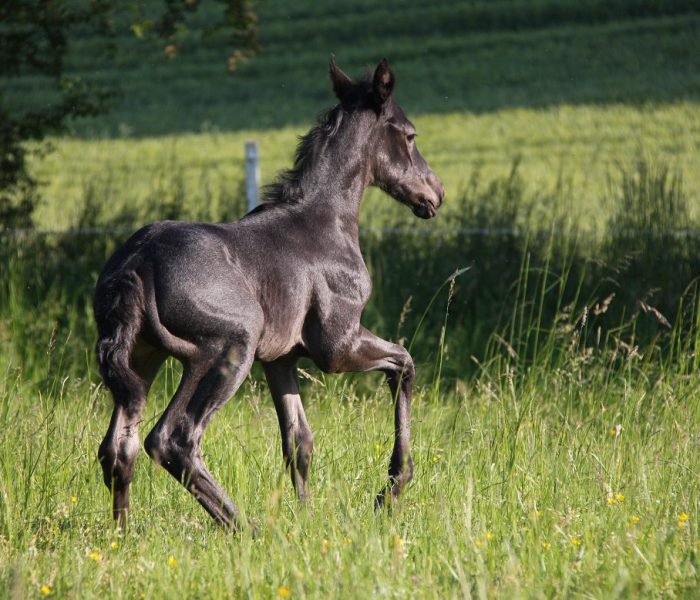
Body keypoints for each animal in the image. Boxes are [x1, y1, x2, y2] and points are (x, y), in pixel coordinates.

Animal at [94, 57, 444, 528]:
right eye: (409, 135)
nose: (435, 193)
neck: (326, 222)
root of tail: (138, 263)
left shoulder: (281, 359)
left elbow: (299, 441)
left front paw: (308, 518)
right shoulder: (339, 346)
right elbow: (404, 362)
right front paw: (391, 490)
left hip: (142, 356)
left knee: (119, 446)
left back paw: (123, 534)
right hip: (226, 350)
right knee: (173, 440)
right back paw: (244, 528)